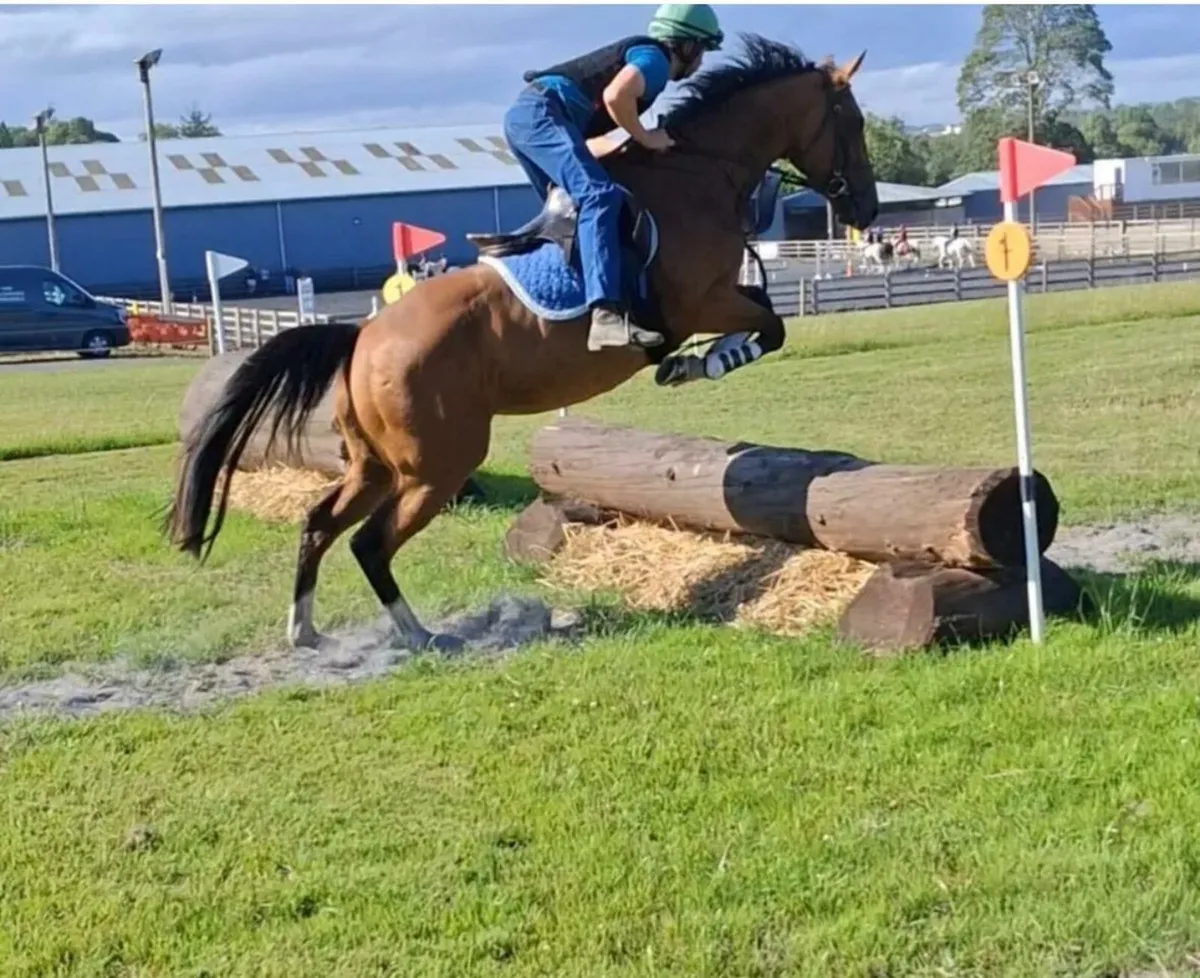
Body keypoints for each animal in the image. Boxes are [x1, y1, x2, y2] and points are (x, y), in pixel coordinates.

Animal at [164, 35, 879, 654]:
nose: (868, 211)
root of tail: (363, 335)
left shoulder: (716, 298)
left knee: (318, 522)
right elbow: (770, 326)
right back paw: (420, 636)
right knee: (370, 542)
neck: (700, 172)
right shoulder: (703, 300)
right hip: (437, 464)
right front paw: (696, 363)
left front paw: (693, 362)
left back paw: (306, 631)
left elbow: (770, 323)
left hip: (375, 464)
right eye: (852, 123)